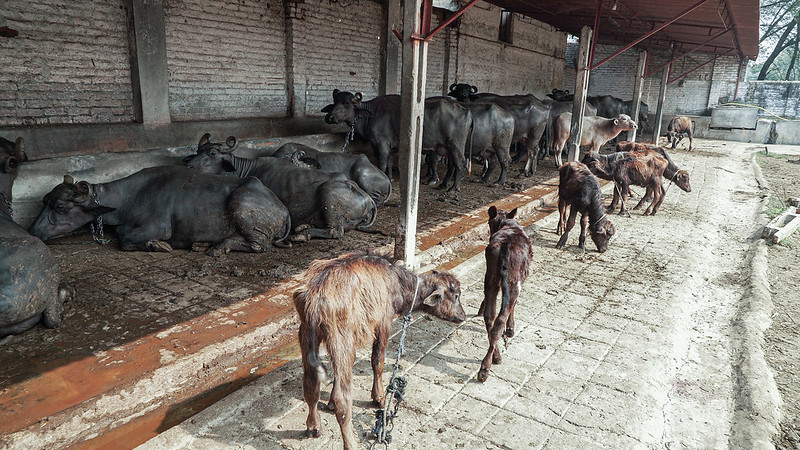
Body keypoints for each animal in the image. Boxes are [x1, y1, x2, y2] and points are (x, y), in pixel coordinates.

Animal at [28, 166, 290, 256]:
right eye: (45, 200)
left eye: (60, 207)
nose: (32, 231)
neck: (129, 199)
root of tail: (282, 208)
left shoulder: (158, 228)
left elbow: (125, 240)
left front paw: (159, 246)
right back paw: (204, 244)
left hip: (241, 205)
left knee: (259, 245)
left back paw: (218, 248)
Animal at [294, 251, 466, 448]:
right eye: (456, 295)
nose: (463, 316)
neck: (397, 283)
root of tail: (315, 297)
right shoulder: (383, 323)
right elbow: (378, 361)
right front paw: (379, 397)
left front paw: (328, 402)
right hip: (341, 339)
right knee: (342, 401)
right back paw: (350, 443)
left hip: (307, 334)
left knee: (310, 384)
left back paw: (313, 426)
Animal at [318, 89, 472, 192]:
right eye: (335, 102)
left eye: (346, 103)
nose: (329, 117)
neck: (370, 116)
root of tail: (465, 110)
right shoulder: (390, 147)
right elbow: (390, 163)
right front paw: (390, 179)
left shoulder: (381, 145)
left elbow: (382, 164)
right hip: (447, 147)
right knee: (452, 166)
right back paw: (443, 185)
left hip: (455, 145)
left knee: (460, 164)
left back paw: (453, 188)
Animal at [478, 206, 536, 382]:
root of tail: (505, 244)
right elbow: (514, 306)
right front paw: (511, 329)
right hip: (513, 281)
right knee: (500, 318)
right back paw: (485, 367)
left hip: (490, 277)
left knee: (490, 316)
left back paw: (495, 356)